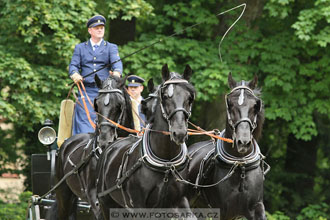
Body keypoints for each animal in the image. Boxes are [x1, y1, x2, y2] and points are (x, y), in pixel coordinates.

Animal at [96, 64, 197, 219]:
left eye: (190, 97)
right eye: (165, 96)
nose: (179, 132)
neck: (166, 162)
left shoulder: (178, 202)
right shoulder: (140, 206)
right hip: (106, 203)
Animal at [186, 74, 268, 220]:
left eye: (255, 105)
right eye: (229, 103)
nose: (243, 142)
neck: (240, 165)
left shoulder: (256, 207)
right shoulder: (222, 212)